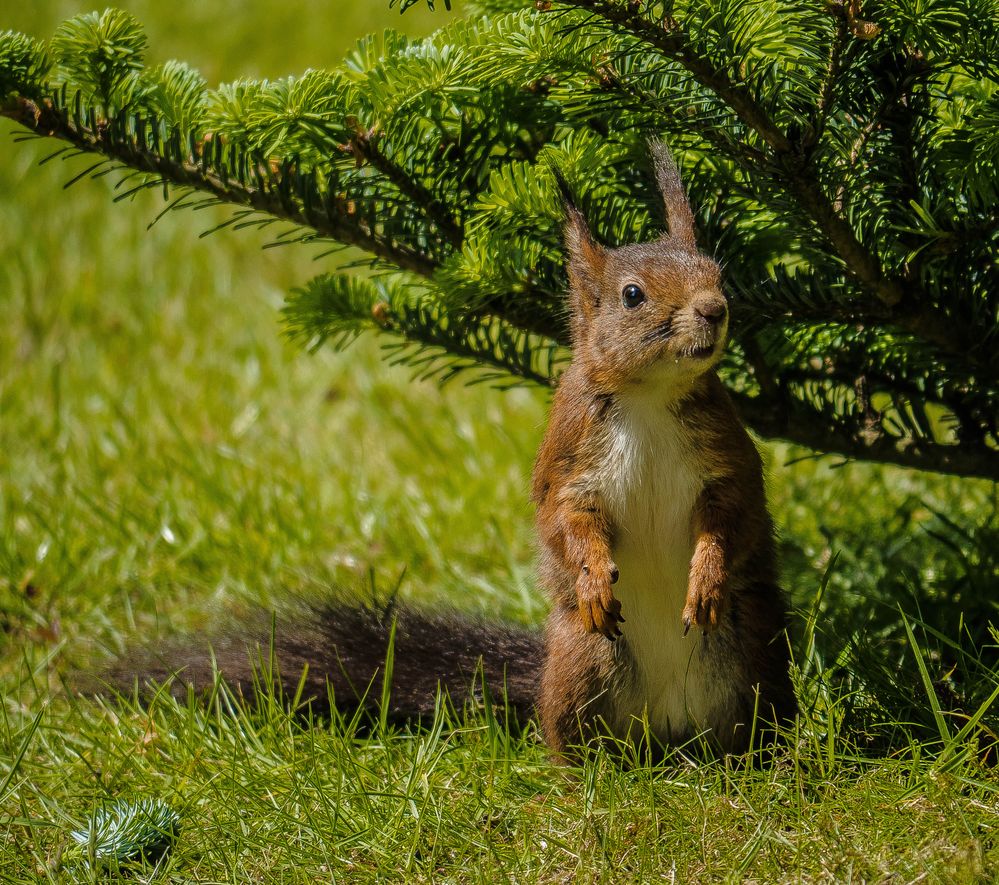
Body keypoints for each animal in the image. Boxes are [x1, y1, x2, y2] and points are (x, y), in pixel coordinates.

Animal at [105, 145, 796, 760]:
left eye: (716, 274)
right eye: (633, 295)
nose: (715, 310)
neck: (650, 398)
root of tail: (671, 739)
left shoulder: (725, 459)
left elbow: (731, 515)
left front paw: (705, 575)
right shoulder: (571, 456)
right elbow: (566, 519)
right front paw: (594, 574)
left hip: (752, 658)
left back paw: (758, 760)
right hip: (583, 663)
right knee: (572, 737)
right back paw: (587, 772)